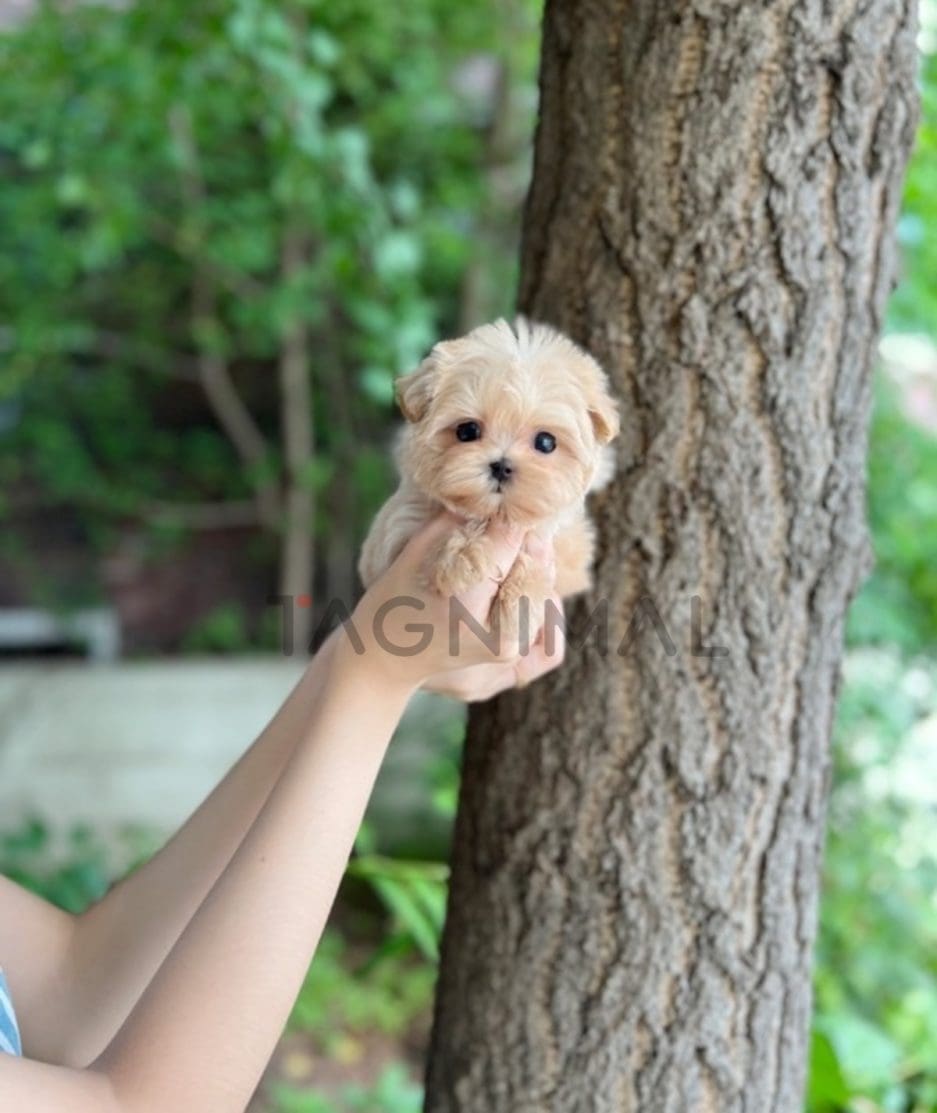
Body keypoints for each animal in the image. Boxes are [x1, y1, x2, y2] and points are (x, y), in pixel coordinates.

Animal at [360, 318, 618, 641]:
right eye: (467, 431)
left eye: (546, 442)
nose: (501, 467)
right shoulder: (389, 542)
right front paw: (463, 557)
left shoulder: (567, 550)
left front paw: (519, 604)